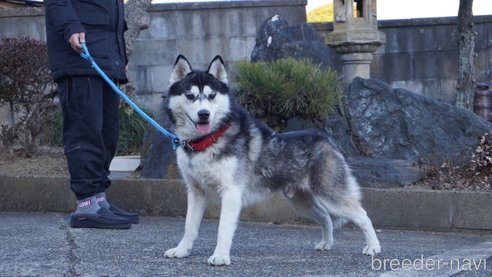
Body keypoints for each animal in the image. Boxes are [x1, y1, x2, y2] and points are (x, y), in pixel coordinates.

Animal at [163, 55, 382, 264]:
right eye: (190, 96)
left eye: (211, 96)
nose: (204, 114)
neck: (207, 141)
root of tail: (326, 139)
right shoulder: (196, 192)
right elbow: (189, 227)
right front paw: (181, 251)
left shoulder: (231, 192)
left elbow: (223, 229)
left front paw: (220, 256)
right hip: (301, 202)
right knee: (325, 217)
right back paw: (326, 243)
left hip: (330, 195)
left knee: (363, 215)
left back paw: (373, 247)